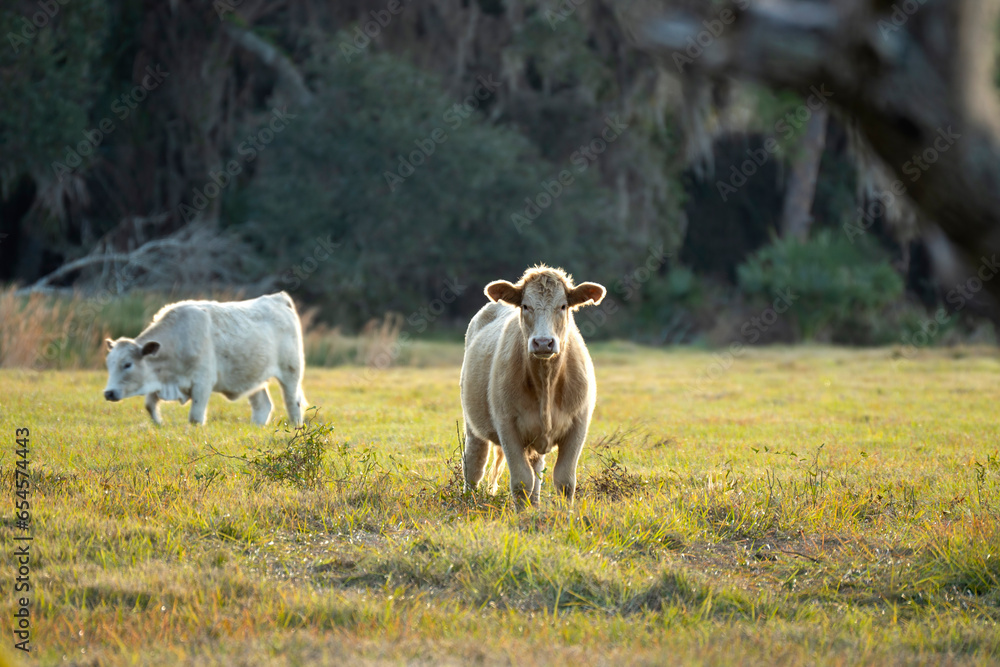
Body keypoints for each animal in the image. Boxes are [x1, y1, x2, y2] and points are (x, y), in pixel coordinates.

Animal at [103, 292, 308, 427]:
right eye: (109, 364)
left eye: (127, 364)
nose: (109, 393)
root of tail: (278, 298)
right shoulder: (159, 382)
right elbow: (149, 406)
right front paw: (159, 424)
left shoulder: (202, 383)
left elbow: (195, 417)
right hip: (254, 378)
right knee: (262, 405)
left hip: (291, 372)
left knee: (293, 402)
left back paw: (295, 426)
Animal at [460, 265, 606, 507]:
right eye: (525, 306)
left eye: (563, 305)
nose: (543, 342)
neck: (546, 382)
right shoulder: (507, 426)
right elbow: (522, 481)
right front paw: (523, 513)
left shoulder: (578, 424)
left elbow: (565, 480)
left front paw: (564, 513)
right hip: (472, 422)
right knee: (474, 462)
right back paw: (468, 500)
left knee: (537, 468)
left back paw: (535, 505)